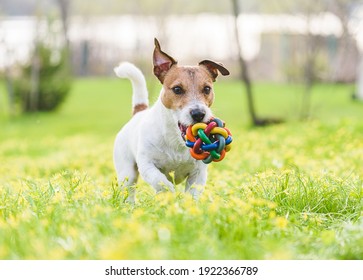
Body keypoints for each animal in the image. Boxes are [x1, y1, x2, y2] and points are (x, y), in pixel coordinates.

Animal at [113, 38, 230, 202]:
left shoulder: (198, 173)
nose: (198, 114)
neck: (176, 140)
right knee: (129, 189)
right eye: (177, 89)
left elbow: (193, 193)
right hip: (127, 172)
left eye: (207, 89)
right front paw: (170, 194)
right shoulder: (147, 164)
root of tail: (138, 113)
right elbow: (161, 182)